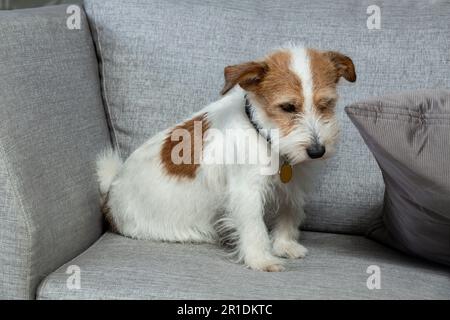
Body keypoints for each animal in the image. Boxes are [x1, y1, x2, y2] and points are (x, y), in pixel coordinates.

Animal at [96, 44, 356, 270]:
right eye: (288, 107)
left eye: (326, 104)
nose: (317, 151)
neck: (264, 133)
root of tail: (111, 191)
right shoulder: (246, 191)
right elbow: (254, 227)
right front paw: (261, 259)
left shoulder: (293, 185)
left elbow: (288, 215)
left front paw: (284, 245)